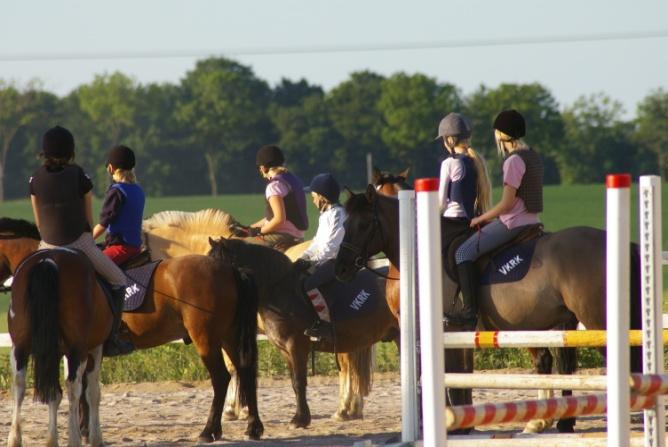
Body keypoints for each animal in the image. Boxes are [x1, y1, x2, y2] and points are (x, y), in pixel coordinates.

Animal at [0, 219, 264, 442]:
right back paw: (253, 427)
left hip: (206, 339)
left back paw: (209, 431)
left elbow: (83, 389)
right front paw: (84, 429)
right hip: (228, 336)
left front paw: (83, 430)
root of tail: (230, 269)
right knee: (246, 370)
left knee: (221, 378)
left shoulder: (84, 347)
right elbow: (83, 388)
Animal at [206, 238, 400, 430]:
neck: (280, 291)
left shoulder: (296, 346)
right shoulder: (285, 350)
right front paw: (301, 417)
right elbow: (294, 382)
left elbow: (299, 382)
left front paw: (300, 419)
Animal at [336, 186, 644, 434]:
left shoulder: (450, 329)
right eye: (346, 223)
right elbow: (455, 375)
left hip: (594, 322)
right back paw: (564, 422)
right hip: (563, 323)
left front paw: (456, 425)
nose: (341, 268)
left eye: (364, 224)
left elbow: (452, 376)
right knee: (567, 366)